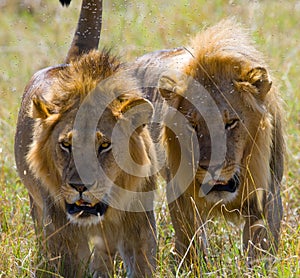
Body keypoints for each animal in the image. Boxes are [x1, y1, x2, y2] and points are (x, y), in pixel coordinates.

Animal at [14, 48, 158, 276]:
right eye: (66, 145)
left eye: (105, 145)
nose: (80, 186)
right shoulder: (61, 232)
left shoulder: (139, 222)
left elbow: (142, 265)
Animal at [132, 19, 284, 268]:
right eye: (193, 125)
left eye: (231, 122)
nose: (211, 168)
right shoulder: (180, 193)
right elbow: (191, 240)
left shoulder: (269, 192)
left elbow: (261, 245)